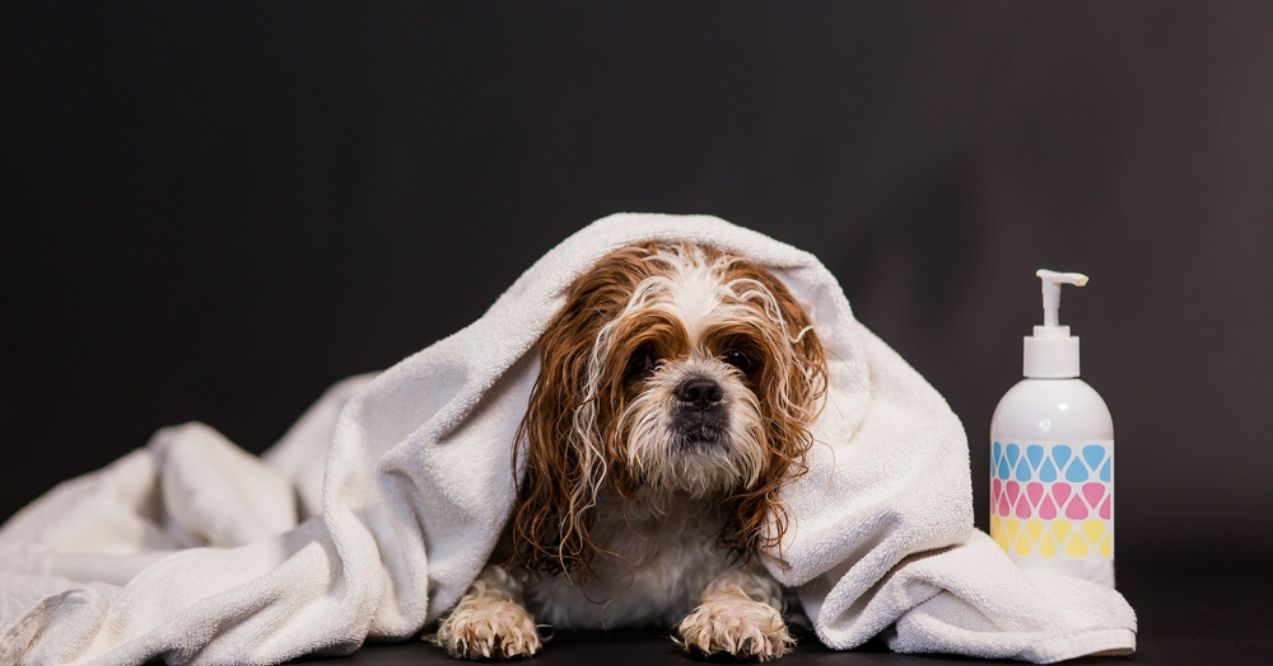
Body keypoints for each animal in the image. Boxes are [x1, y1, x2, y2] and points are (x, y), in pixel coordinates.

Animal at [437, 240, 829, 662]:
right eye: (641, 360)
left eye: (739, 357)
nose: (701, 390)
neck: (661, 506)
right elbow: (490, 576)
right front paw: (490, 614)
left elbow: (749, 578)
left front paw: (734, 614)